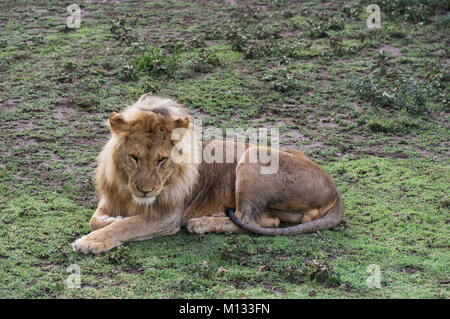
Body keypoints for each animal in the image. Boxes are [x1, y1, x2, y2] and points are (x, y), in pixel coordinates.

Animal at [72, 95, 342, 255]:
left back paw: (200, 223)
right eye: (134, 158)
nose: (145, 191)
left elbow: (126, 226)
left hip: (252, 154)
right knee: (269, 221)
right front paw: (112, 219)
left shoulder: (166, 216)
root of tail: (335, 190)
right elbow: (97, 219)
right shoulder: (110, 199)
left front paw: (91, 241)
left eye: (161, 160)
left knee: (249, 221)